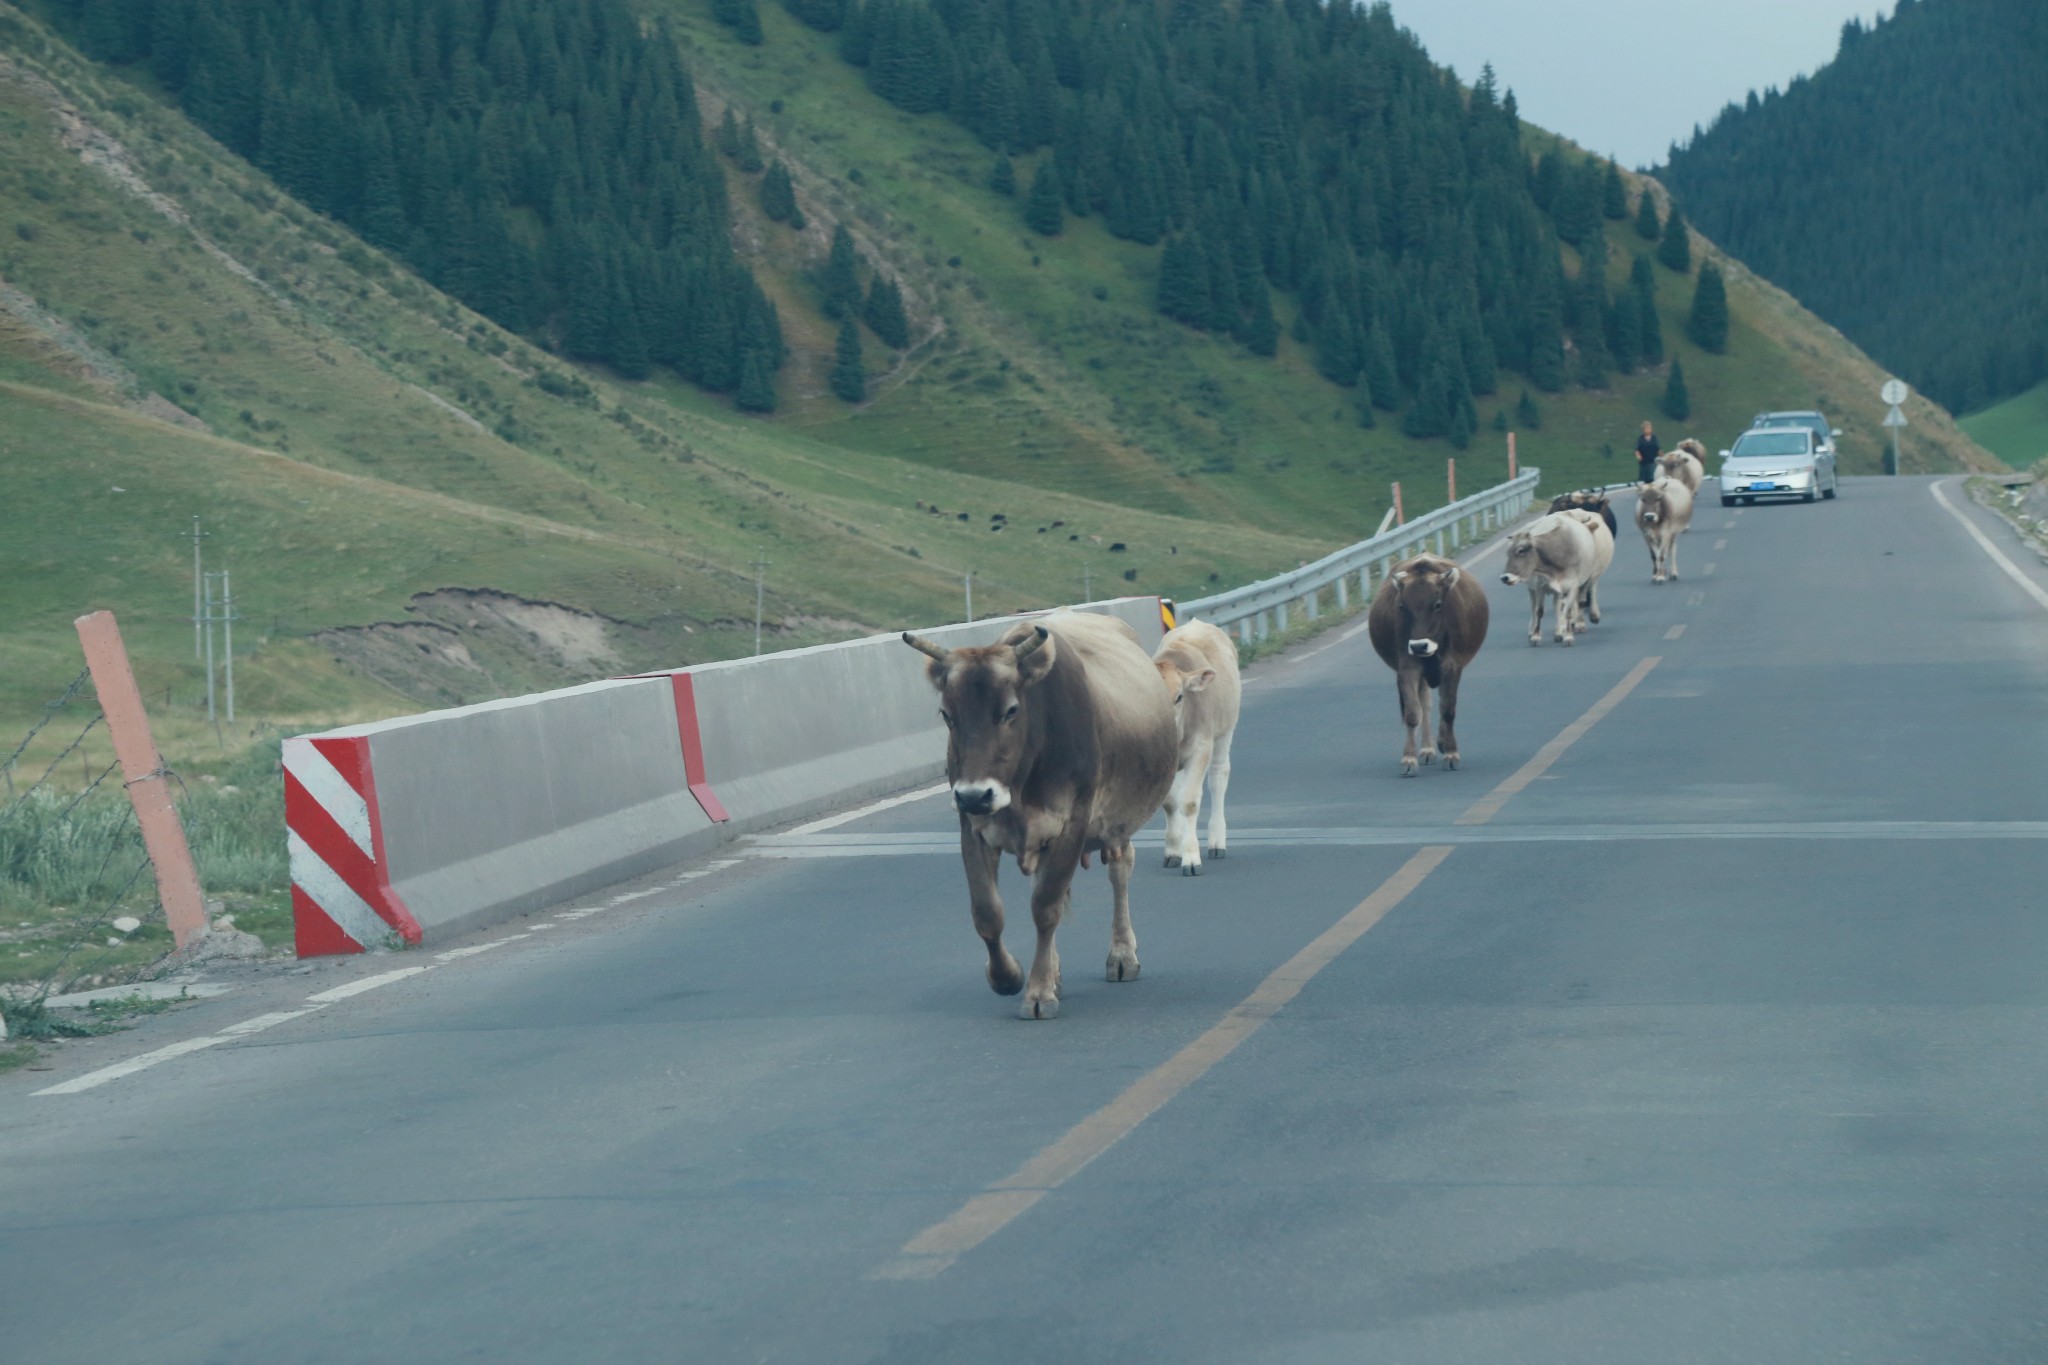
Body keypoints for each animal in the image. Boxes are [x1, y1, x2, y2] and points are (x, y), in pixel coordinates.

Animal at [905, 613, 1179, 1019]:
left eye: (1011, 710)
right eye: (947, 714)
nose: (975, 794)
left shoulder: (1074, 823)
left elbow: (1045, 907)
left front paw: (1038, 993)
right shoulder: (973, 828)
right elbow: (988, 914)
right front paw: (1009, 977)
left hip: (1117, 827)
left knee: (1119, 871)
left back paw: (1122, 955)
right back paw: (1054, 971)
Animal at [1146, 618, 1236, 875]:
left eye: (1179, 697)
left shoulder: (1200, 749)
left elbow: (1189, 802)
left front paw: (1191, 857)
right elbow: (1170, 802)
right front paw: (1173, 851)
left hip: (1224, 732)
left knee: (1218, 778)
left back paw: (1217, 841)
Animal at [1368, 548, 1482, 773]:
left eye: (1437, 604)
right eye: (1402, 606)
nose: (1419, 646)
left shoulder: (1452, 666)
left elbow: (1448, 709)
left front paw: (1451, 752)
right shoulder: (1407, 666)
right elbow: (1413, 713)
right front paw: (1408, 759)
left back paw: (1441, 743)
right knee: (1425, 704)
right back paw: (1428, 749)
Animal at [1507, 511, 1597, 646]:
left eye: (1521, 550)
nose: (1505, 577)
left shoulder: (1569, 587)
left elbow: (1565, 611)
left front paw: (1565, 635)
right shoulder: (1539, 586)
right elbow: (1539, 611)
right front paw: (1535, 637)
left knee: (1556, 606)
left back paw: (1558, 633)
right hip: (1531, 589)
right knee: (1533, 607)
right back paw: (1531, 632)